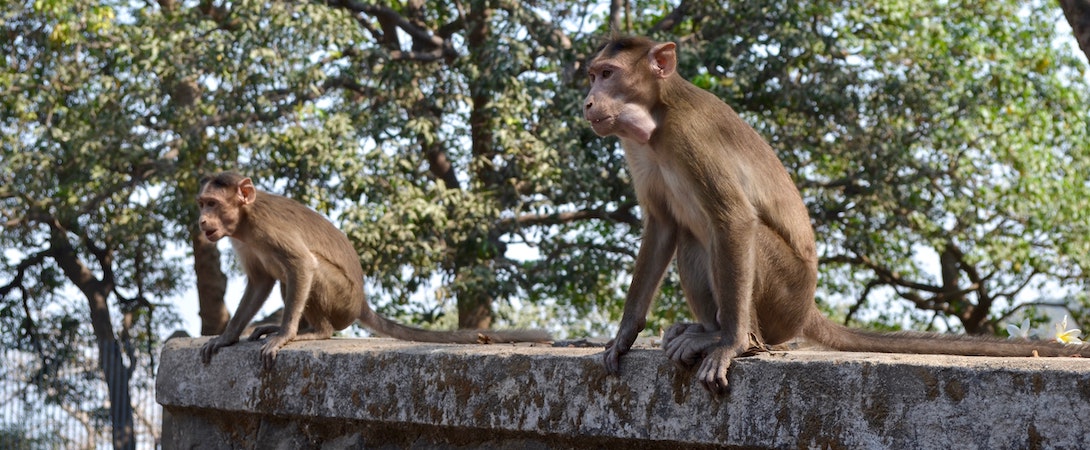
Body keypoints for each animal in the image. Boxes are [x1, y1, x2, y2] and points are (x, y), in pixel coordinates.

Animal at [196, 172, 551, 369]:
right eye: (202, 203)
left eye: (213, 204)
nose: (201, 221)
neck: (245, 220)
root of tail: (362, 302)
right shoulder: (241, 240)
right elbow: (260, 281)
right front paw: (226, 338)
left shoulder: (267, 228)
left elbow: (301, 263)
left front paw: (285, 335)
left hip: (342, 301)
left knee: (308, 270)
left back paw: (316, 330)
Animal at [582, 35, 1090, 395]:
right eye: (592, 76)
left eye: (607, 74)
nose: (587, 101)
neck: (656, 119)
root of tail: (807, 307)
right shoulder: (636, 149)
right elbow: (663, 226)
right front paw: (624, 337)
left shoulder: (690, 138)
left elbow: (735, 221)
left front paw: (729, 344)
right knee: (692, 235)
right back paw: (705, 329)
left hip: (785, 296)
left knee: (724, 234)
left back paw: (733, 338)